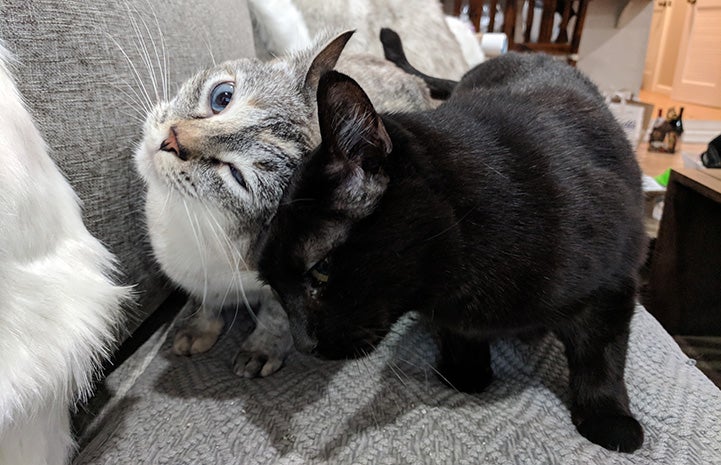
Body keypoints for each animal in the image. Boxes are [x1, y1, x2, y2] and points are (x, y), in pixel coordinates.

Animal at [258, 52, 648, 452]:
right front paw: (466, 369)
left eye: (320, 268)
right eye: (274, 287)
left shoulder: (614, 284)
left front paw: (608, 417)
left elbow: (601, 353)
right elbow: (459, 333)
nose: (302, 344)